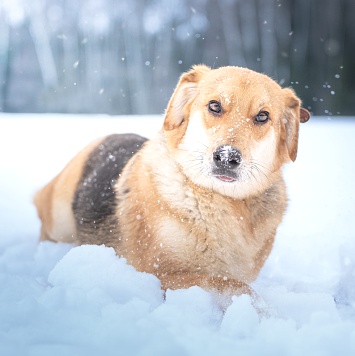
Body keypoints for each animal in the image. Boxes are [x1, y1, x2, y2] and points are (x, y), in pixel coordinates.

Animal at [34, 64, 310, 300]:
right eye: (215, 106)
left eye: (263, 116)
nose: (227, 157)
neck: (220, 201)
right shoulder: (159, 274)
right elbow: (234, 285)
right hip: (60, 220)